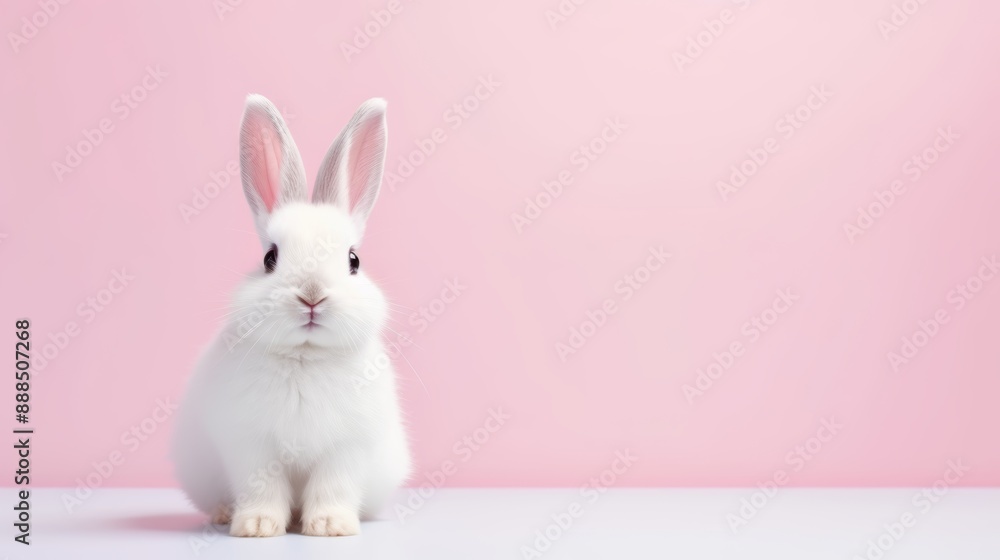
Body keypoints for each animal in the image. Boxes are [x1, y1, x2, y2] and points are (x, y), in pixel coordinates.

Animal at [171, 94, 411, 537]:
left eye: (353, 260)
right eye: (270, 258)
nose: (312, 296)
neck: (305, 355)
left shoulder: (346, 449)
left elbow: (333, 486)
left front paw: (331, 526)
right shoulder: (251, 445)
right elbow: (262, 488)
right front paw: (256, 526)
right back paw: (224, 514)